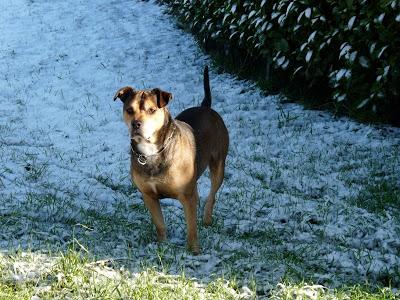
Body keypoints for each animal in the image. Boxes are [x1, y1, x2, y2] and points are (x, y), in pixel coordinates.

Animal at [114, 66, 230, 253]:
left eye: (152, 110)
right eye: (129, 110)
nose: (136, 124)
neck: (152, 152)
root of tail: (206, 107)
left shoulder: (188, 197)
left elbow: (191, 227)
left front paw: (194, 250)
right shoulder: (148, 195)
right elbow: (159, 224)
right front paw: (162, 244)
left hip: (219, 164)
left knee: (212, 193)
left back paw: (207, 219)